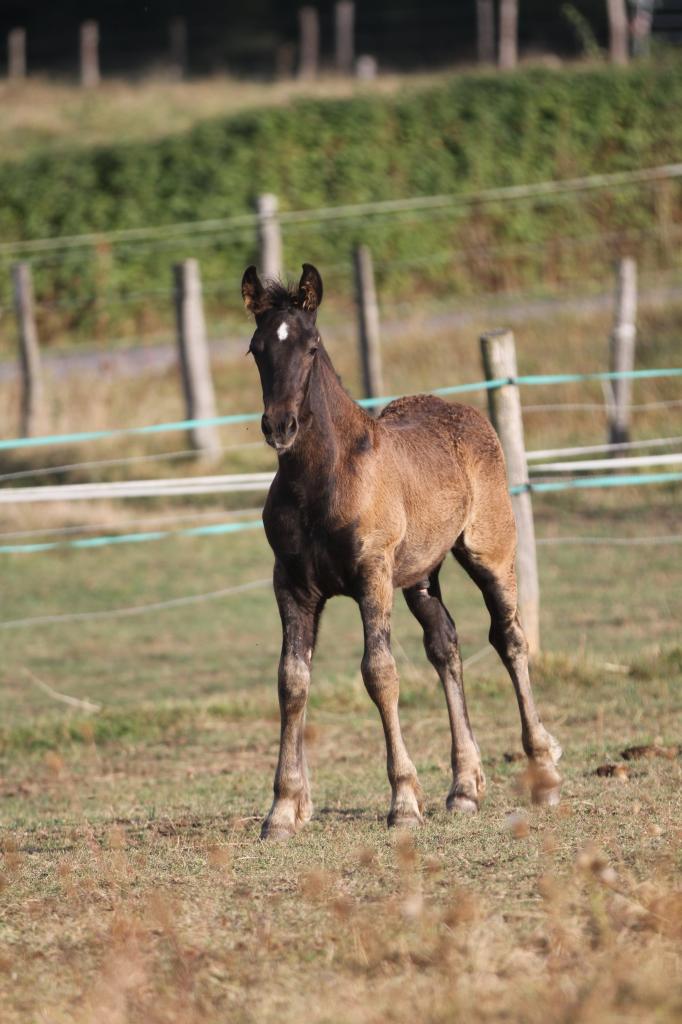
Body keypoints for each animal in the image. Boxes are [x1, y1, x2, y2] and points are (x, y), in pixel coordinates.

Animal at [241, 264, 561, 839]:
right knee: (446, 646)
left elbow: (379, 672)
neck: (322, 482)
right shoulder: (292, 583)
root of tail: (464, 410)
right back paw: (464, 789)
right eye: (256, 348)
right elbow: (291, 680)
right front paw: (283, 809)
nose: (279, 426)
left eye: (311, 346)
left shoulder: (373, 572)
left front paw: (404, 802)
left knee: (509, 638)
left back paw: (543, 773)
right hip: (420, 576)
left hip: (490, 552)